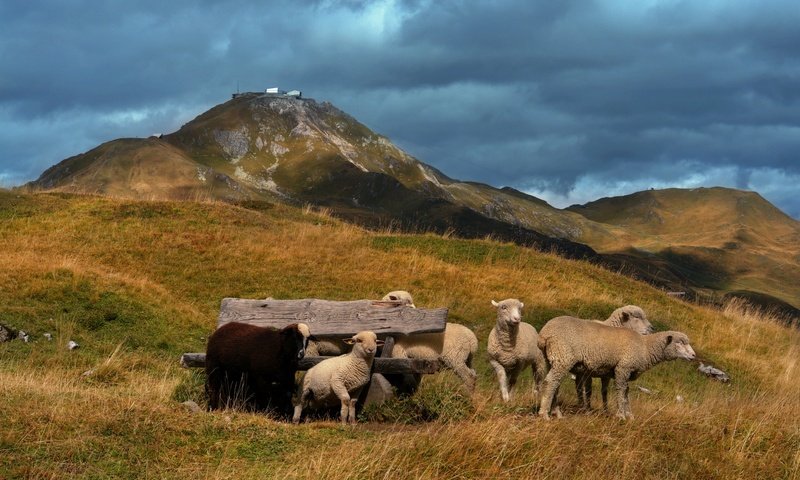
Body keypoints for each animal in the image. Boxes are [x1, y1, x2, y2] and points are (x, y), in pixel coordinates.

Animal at [536, 318, 692, 420]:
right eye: (680, 343)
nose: (693, 355)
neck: (645, 348)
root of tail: (545, 333)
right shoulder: (623, 368)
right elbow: (621, 391)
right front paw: (621, 415)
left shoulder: (626, 372)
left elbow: (626, 393)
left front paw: (629, 415)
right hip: (563, 356)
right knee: (550, 382)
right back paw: (544, 414)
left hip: (552, 359)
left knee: (555, 384)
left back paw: (556, 412)